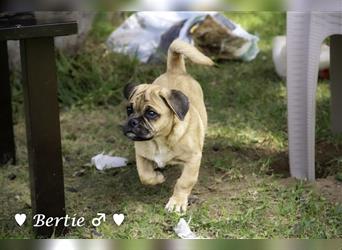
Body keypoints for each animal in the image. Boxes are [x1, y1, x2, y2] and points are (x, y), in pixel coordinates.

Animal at [123, 39, 212, 213]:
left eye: (151, 113)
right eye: (129, 110)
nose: (132, 121)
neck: (159, 140)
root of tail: (175, 70)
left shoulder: (193, 159)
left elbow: (184, 182)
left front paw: (177, 202)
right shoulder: (141, 154)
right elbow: (145, 175)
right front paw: (157, 178)